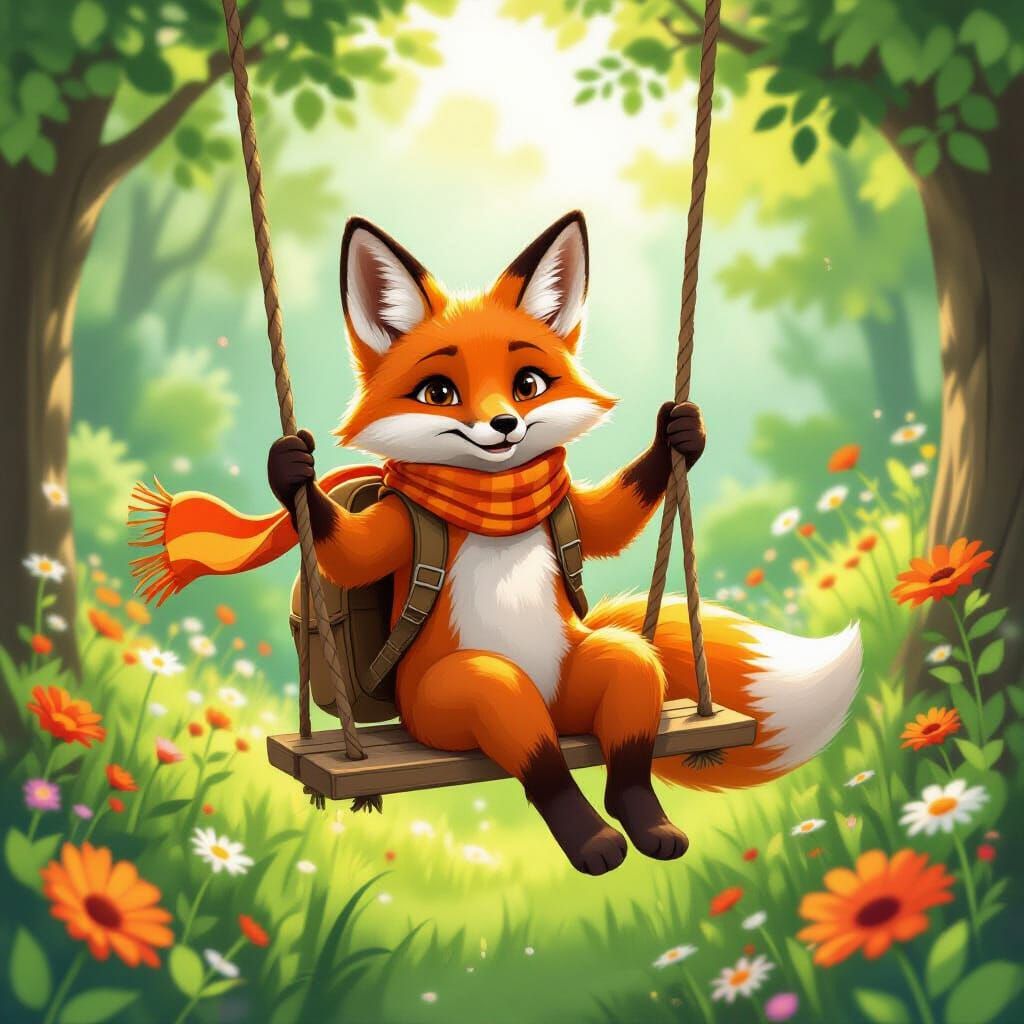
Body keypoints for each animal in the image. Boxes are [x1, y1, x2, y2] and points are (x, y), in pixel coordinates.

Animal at [267, 210, 862, 875]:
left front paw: (679, 434)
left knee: (628, 673)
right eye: (438, 393)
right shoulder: (403, 521)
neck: (496, 497)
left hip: (581, 679)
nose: (505, 425)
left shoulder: (568, 505)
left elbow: (606, 523)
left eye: (528, 383)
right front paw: (290, 470)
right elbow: (355, 555)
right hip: (448, 704)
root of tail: (552, 710)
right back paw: (593, 840)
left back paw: (645, 821)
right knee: (523, 731)